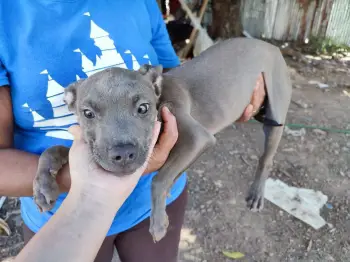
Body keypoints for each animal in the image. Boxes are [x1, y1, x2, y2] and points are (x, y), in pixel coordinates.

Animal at [32, 36, 292, 242]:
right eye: (87, 113)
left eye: (143, 108)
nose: (123, 154)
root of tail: (270, 45)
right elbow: (52, 150)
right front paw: (43, 186)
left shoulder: (197, 138)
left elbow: (158, 179)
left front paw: (158, 221)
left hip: (276, 110)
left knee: (266, 158)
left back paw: (256, 193)